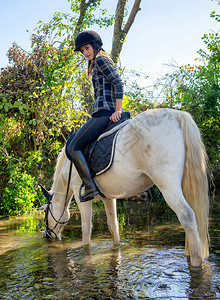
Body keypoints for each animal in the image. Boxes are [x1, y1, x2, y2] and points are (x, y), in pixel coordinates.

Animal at [41, 109, 210, 266]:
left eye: (45, 212)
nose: (46, 236)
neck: (67, 168)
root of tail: (177, 115)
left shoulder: (80, 195)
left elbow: (86, 230)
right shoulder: (108, 198)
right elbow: (113, 227)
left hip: (168, 186)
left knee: (187, 216)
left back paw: (196, 261)